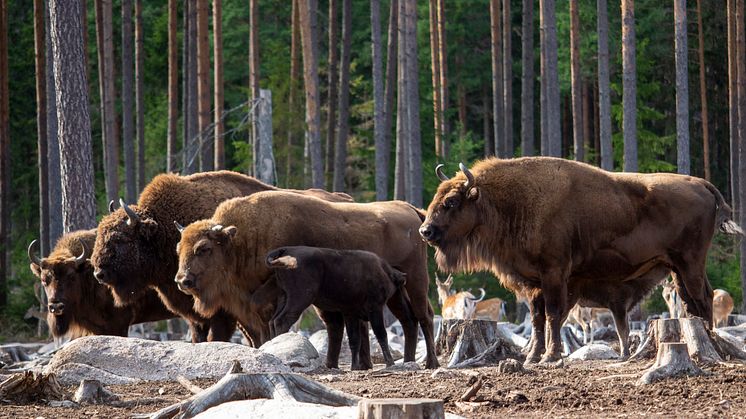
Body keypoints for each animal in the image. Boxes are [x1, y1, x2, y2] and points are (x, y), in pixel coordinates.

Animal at [90, 171, 352, 344]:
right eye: (100, 234)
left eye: (120, 239)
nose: (99, 272)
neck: (160, 228)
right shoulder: (198, 314)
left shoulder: (223, 312)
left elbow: (222, 336)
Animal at [262, 246, 412, 370]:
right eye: (402, 286)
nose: (406, 303)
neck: (384, 272)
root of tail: (285, 250)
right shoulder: (374, 308)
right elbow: (381, 334)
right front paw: (390, 363)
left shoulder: (351, 313)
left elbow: (354, 339)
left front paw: (355, 366)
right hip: (300, 298)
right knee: (282, 320)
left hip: (284, 296)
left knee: (272, 321)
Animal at [418, 158, 740, 364]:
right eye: (437, 197)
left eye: (451, 201)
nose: (425, 231)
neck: (511, 201)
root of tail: (700, 183)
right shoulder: (534, 283)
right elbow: (537, 319)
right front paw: (533, 357)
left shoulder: (554, 274)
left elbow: (552, 315)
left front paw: (550, 356)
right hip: (677, 268)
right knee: (691, 301)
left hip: (690, 263)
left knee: (703, 297)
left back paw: (711, 341)